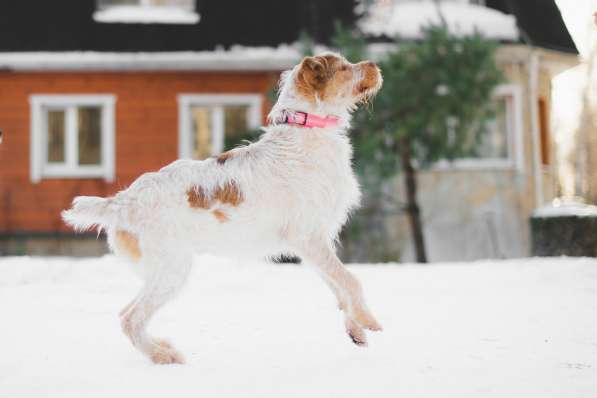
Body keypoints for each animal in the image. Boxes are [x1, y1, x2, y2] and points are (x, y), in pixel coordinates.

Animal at [62, 52, 384, 364]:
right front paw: (368, 319)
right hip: (172, 269)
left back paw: (160, 347)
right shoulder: (308, 238)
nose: (374, 64)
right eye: (344, 67)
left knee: (126, 313)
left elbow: (338, 287)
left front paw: (355, 328)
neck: (305, 132)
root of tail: (121, 200)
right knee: (131, 318)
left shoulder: (314, 245)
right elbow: (351, 280)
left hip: (160, 272)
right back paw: (162, 356)